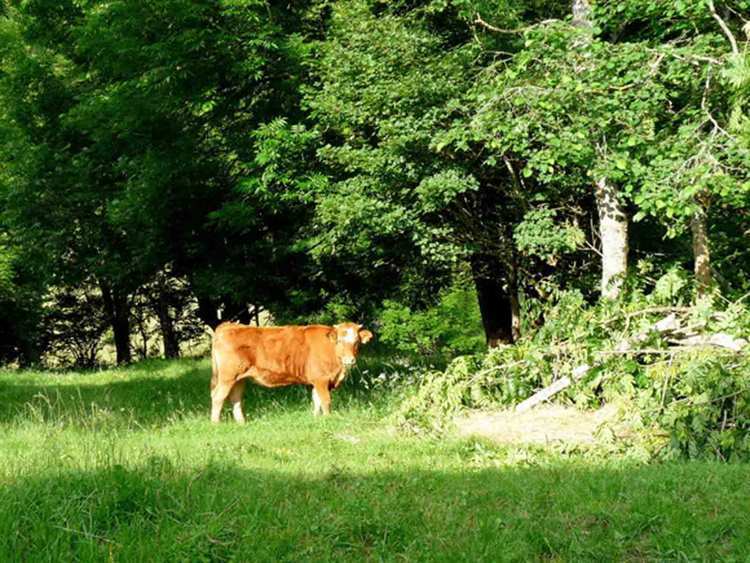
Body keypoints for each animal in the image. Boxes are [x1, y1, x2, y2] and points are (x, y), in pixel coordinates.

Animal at [209, 322, 373, 423]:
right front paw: (328, 419)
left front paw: (316, 418)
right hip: (227, 377)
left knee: (235, 398)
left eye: (356, 342)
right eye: (339, 341)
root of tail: (228, 325)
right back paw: (215, 423)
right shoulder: (321, 380)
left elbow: (316, 401)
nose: (350, 360)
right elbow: (325, 401)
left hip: (239, 378)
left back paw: (241, 422)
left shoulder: (316, 381)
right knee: (218, 397)